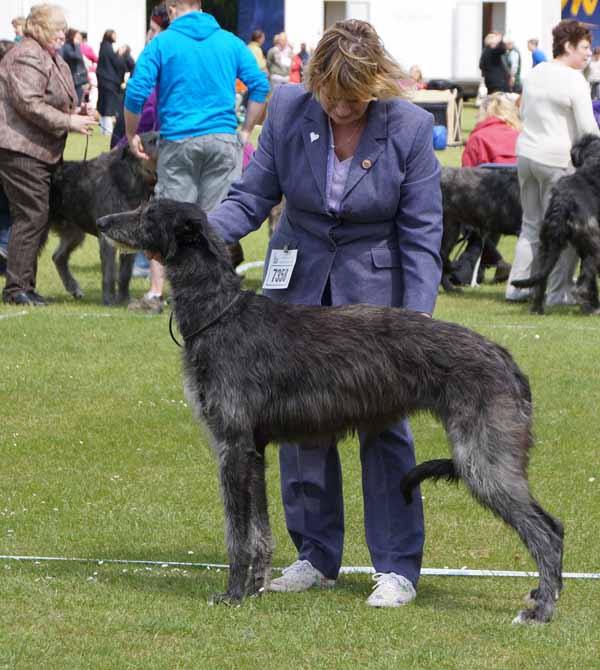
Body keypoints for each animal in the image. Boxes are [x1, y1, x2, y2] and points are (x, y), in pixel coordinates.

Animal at [97, 198, 564, 624]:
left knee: (546, 531)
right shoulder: (254, 450)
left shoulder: (231, 445)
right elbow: (260, 532)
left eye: (148, 214)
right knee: (552, 526)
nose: (101, 221)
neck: (219, 313)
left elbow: (237, 534)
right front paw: (257, 587)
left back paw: (541, 609)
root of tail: (506, 360)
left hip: (483, 459)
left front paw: (232, 594)